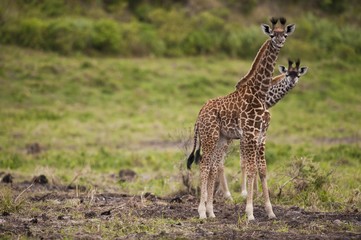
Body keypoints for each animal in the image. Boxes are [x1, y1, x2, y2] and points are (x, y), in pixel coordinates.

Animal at [186, 16, 296, 220]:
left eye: (284, 34)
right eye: (272, 34)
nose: (279, 42)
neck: (259, 93)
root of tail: (200, 113)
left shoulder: (260, 136)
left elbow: (262, 169)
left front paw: (270, 212)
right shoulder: (250, 134)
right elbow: (251, 168)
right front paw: (250, 212)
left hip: (221, 138)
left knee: (213, 166)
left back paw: (211, 212)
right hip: (210, 136)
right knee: (205, 165)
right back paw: (202, 212)